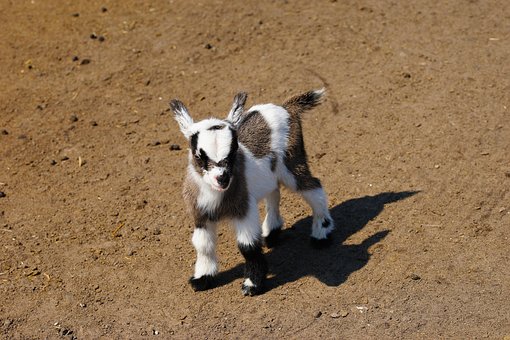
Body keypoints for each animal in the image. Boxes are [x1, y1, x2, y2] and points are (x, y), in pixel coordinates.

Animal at [173, 89, 334, 296]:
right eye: (198, 155)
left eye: (234, 151)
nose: (222, 178)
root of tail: (286, 107)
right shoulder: (200, 213)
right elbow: (202, 244)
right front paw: (202, 278)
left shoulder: (244, 209)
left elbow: (247, 246)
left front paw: (252, 284)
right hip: (272, 172)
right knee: (274, 192)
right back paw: (271, 233)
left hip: (292, 161)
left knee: (313, 187)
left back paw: (321, 233)